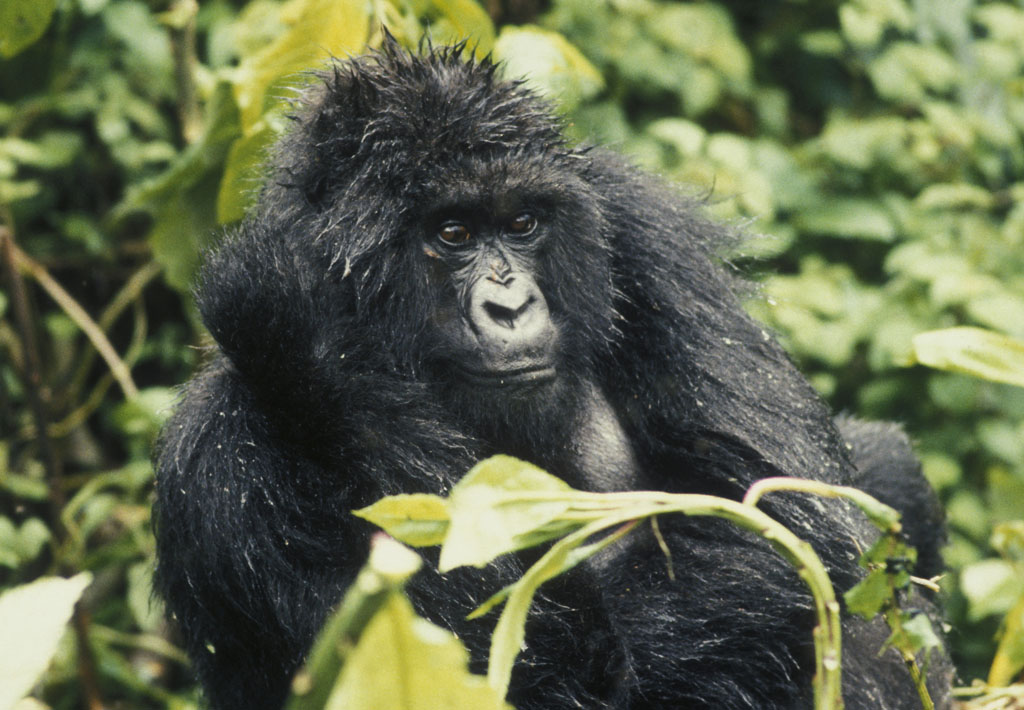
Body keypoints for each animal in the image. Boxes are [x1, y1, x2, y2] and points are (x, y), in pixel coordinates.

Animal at [153, 40, 950, 708]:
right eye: (452, 233)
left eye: (523, 225)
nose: (510, 306)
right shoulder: (225, 463)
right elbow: (534, 671)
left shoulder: (636, 222)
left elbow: (794, 521)